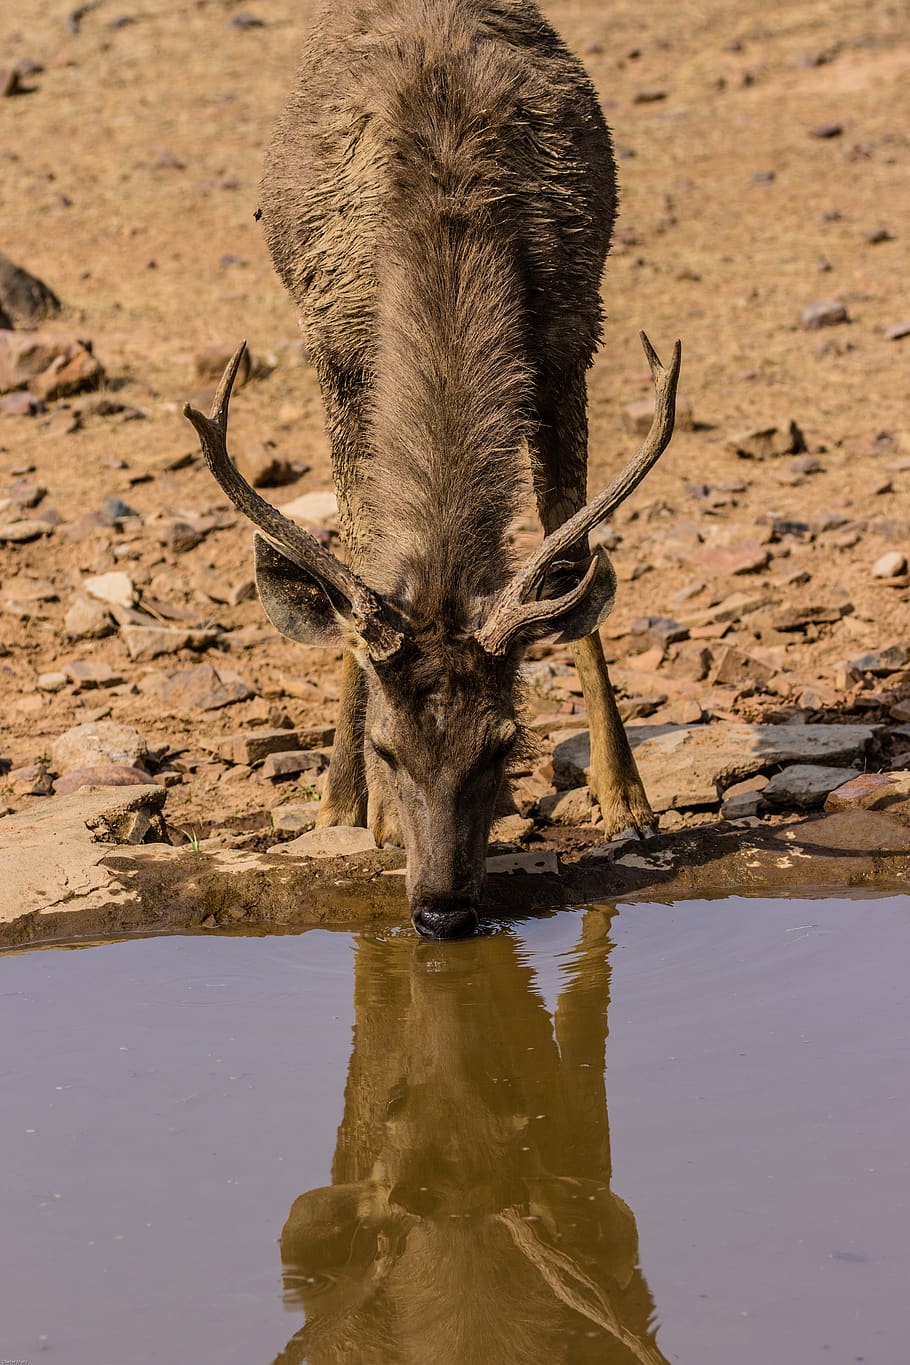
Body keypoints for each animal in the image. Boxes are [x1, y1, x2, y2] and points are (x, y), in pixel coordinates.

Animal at [181, 0, 679, 939]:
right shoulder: (338, 353)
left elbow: (569, 547)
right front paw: (355, 805)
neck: (447, 214)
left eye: (506, 741)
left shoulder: (570, 337)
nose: (443, 912)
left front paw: (628, 799)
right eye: (387, 746)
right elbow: (361, 556)